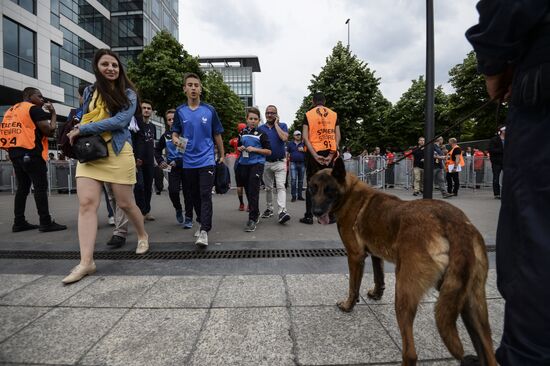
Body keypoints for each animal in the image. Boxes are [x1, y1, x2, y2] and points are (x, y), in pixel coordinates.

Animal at [310, 159, 500, 366]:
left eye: (329, 190)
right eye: (313, 189)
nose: (316, 212)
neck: (349, 193)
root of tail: (454, 223)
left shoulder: (355, 256)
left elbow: (353, 286)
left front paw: (348, 305)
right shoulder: (376, 254)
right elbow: (379, 277)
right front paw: (376, 294)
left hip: (404, 293)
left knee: (410, 353)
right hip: (471, 304)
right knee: (488, 351)